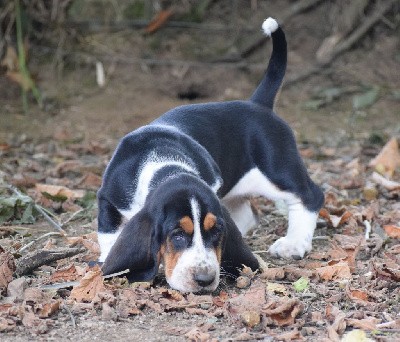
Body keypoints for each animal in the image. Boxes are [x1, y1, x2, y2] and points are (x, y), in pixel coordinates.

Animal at [97, 17, 324, 292]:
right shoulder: (108, 199)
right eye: (177, 235)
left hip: (275, 170)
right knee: (248, 214)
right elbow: (110, 235)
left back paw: (294, 243)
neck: (165, 165)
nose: (204, 280)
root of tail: (257, 104)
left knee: (311, 196)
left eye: (215, 233)